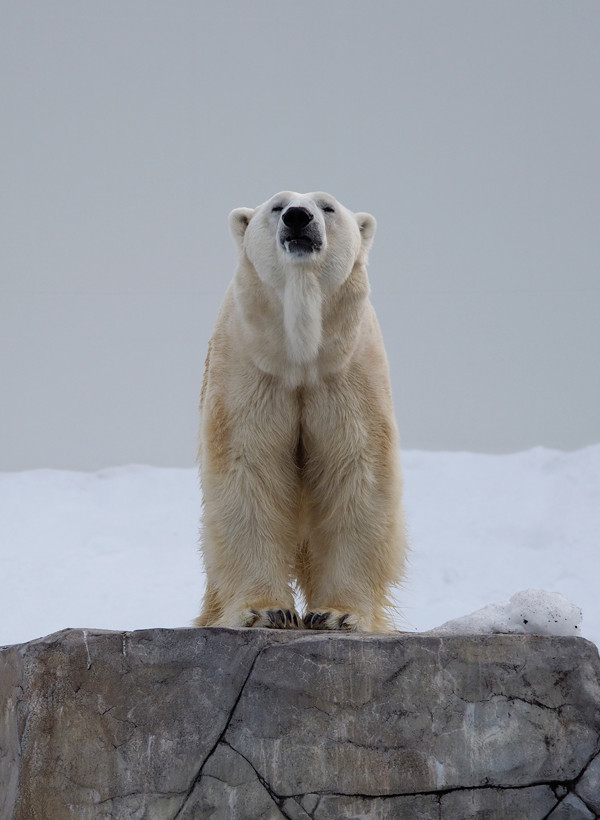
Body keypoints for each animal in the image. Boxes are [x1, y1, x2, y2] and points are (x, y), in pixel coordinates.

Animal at [196, 189, 408, 632]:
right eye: (277, 205)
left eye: (327, 206)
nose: (298, 217)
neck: (300, 354)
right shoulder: (252, 373)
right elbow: (248, 470)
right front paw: (266, 611)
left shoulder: (345, 376)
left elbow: (356, 471)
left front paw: (338, 614)